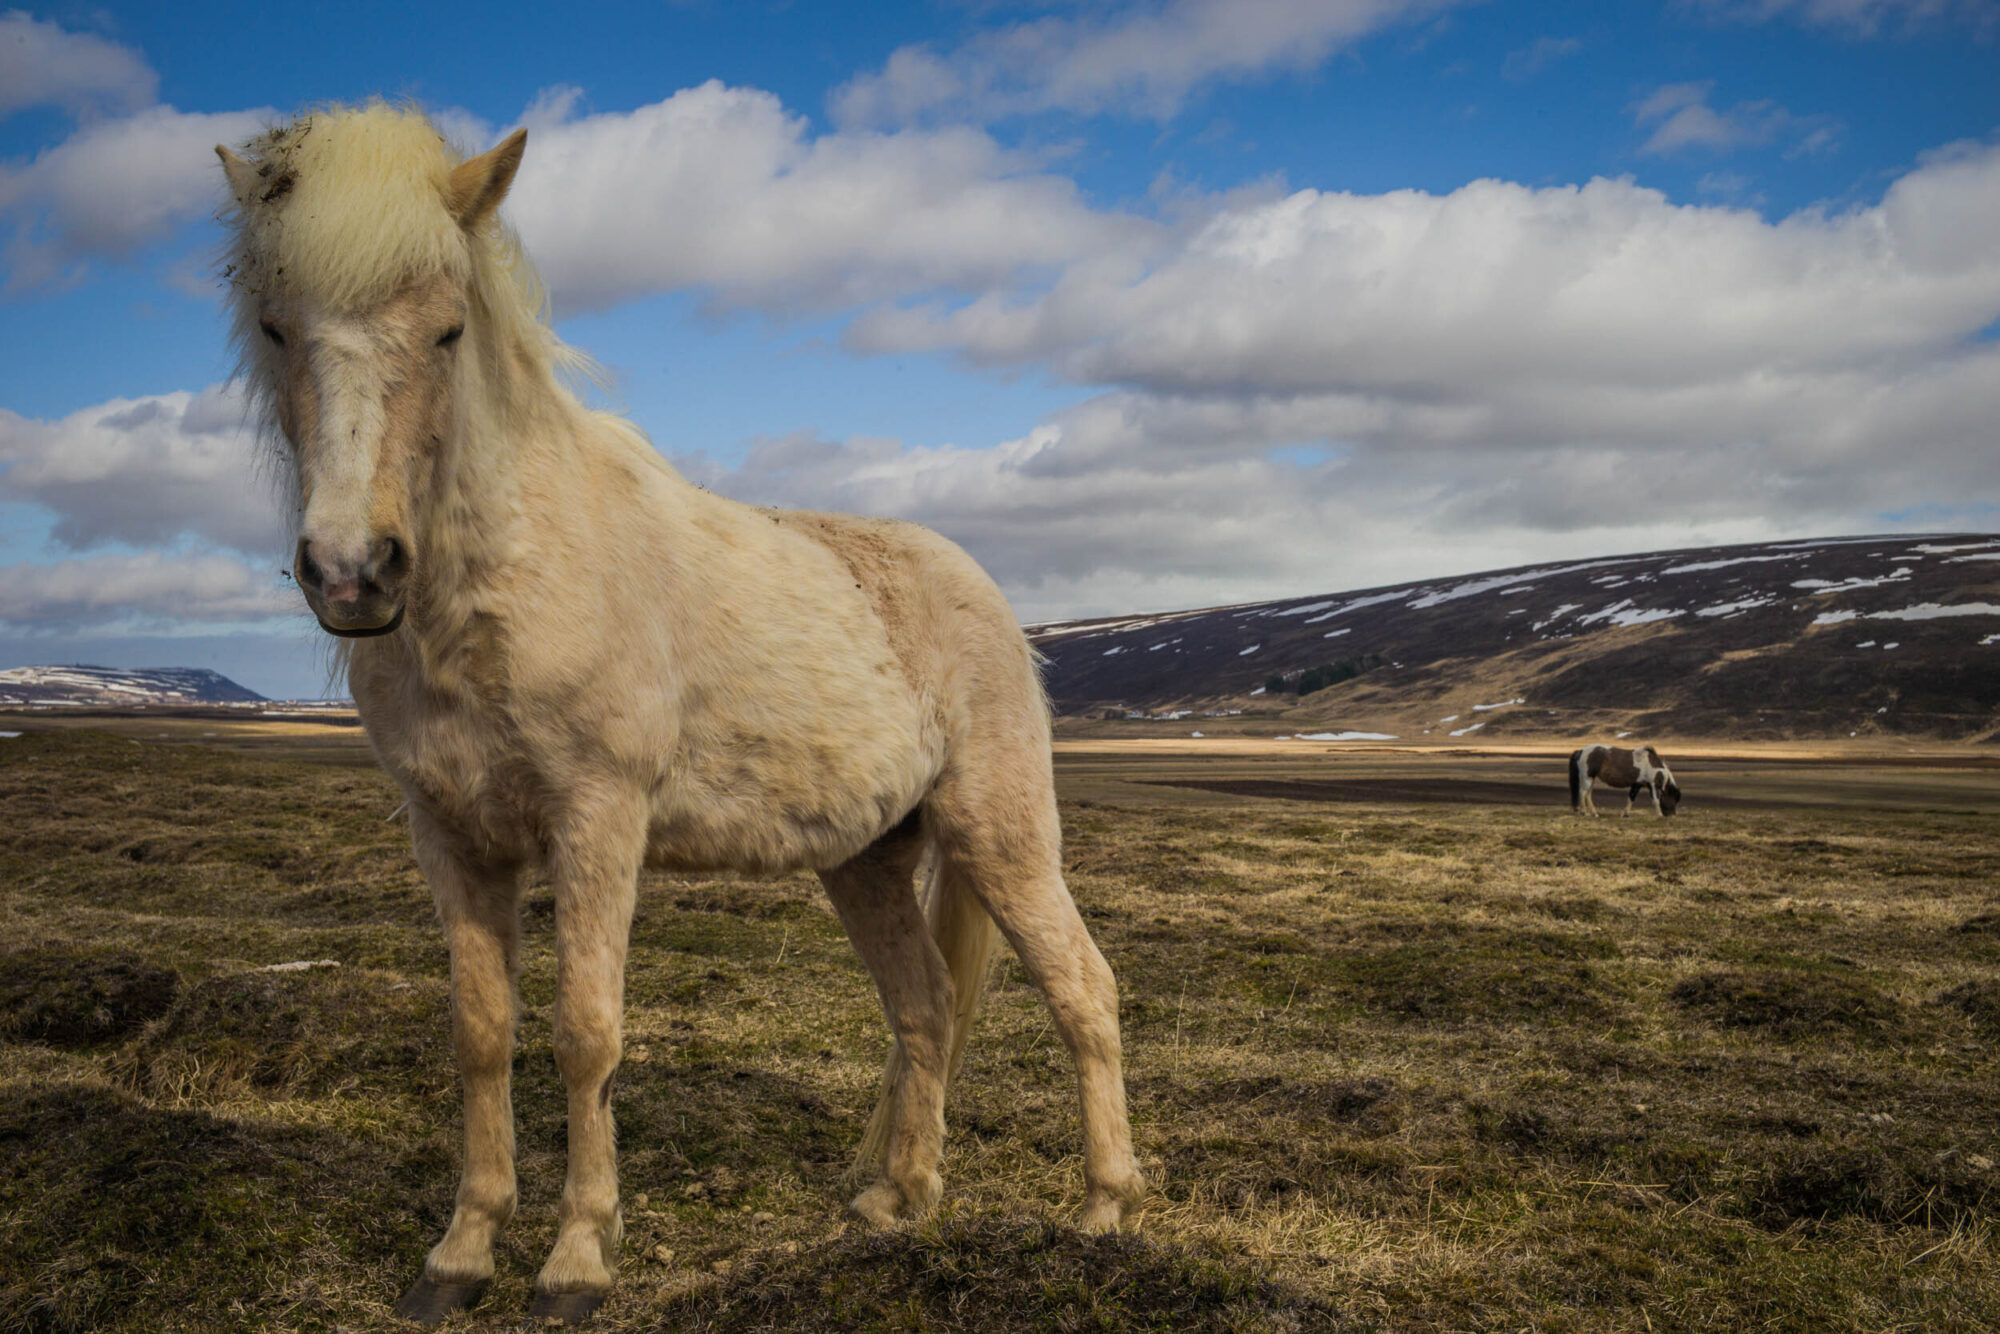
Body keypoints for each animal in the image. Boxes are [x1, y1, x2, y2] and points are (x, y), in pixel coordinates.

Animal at [215, 104, 1143, 1326]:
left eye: (449, 330)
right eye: (276, 327)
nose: (352, 573)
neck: (505, 580)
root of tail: (979, 589)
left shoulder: (599, 822)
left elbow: (585, 1032)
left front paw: (575, 1257)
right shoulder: (453, 837)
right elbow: (480, 1032)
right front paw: (461, 1253)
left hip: (999, 830)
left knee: (1081, 988)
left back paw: (1106, 1207)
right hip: (867, 860)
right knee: (926, 1006)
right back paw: (896, 1200)